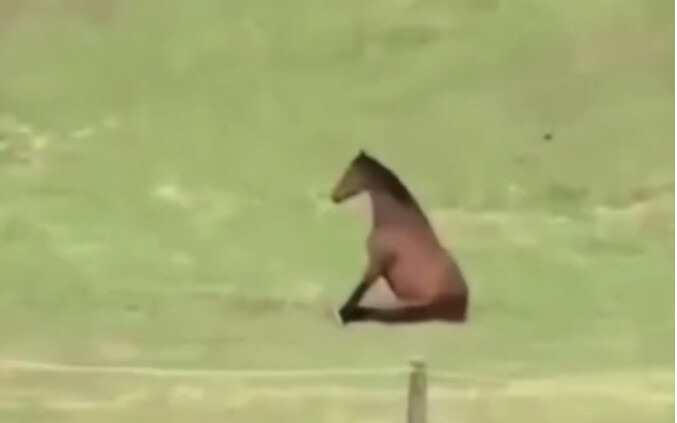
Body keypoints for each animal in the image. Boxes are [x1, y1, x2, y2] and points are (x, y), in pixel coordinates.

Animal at [330, 150, 469, 324]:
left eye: (349, 172)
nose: (334, 196)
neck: (396, 222)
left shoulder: (376, 264)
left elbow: (360, 290)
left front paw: (342, 315)